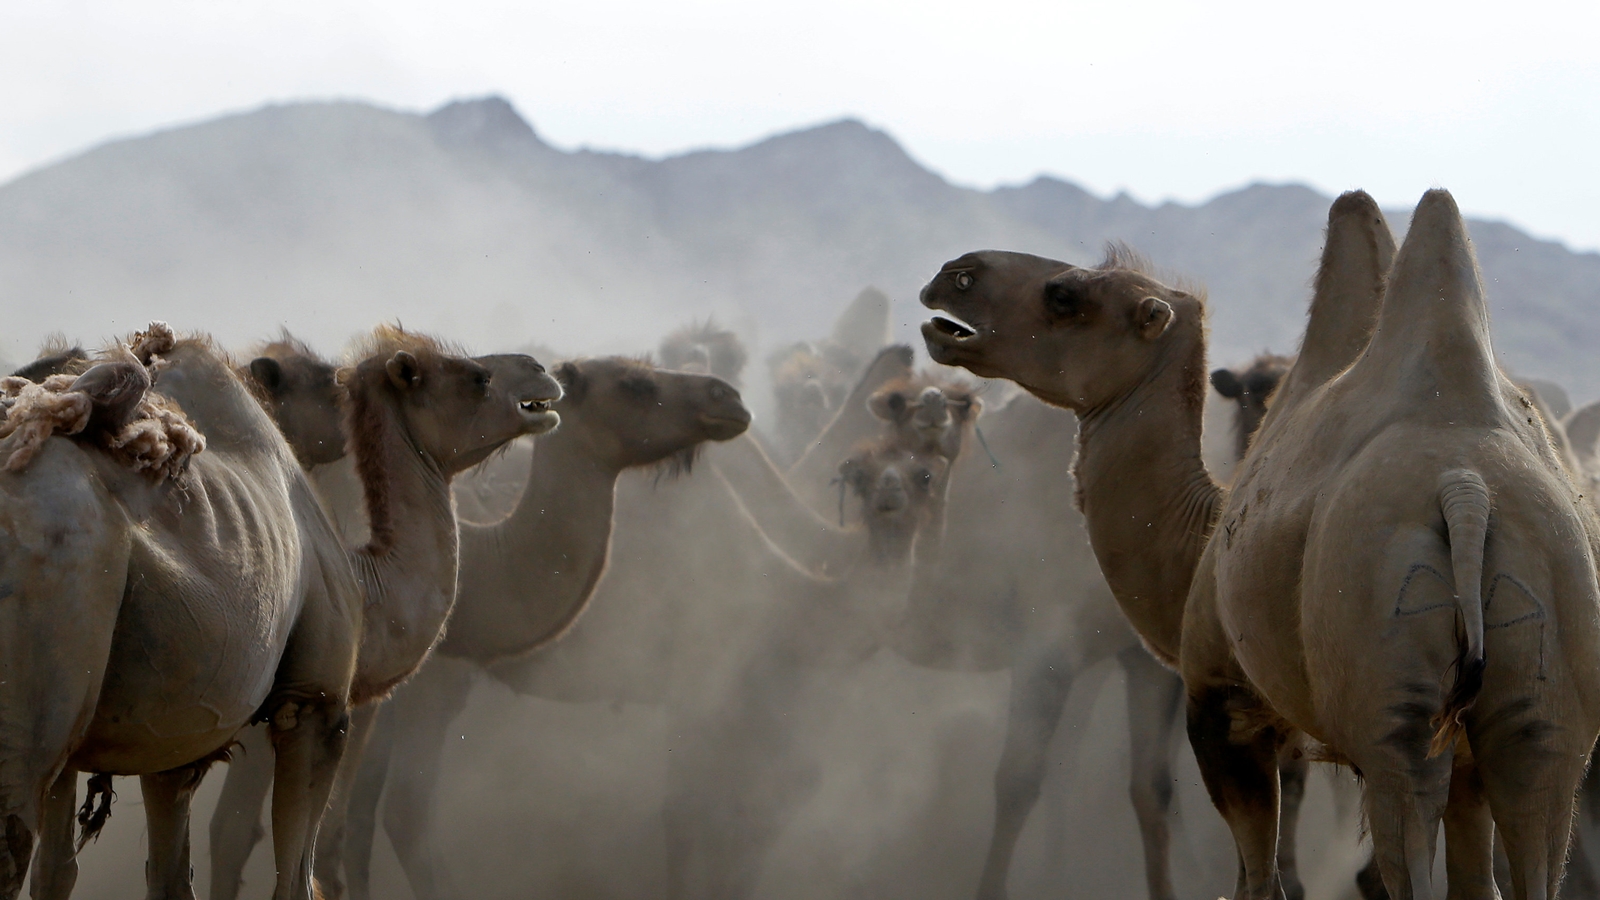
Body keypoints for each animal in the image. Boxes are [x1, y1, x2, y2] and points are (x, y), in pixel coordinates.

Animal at [928, 185, 1600, 890]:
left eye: (1064, 295)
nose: (954, 274)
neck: (1198, 536)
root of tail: (1466, 491)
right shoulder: (1465, 765)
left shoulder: (1221, 702)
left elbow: (1258, 881)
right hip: (1544, 710)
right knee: (1536, 829)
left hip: (1397, 719)